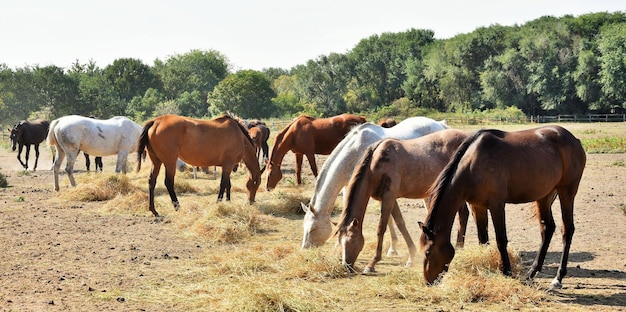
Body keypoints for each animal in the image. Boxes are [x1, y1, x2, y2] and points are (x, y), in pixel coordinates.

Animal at [336, 129, 472, 272]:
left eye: (351, 239)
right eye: (339, 241)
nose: (346, 265)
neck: (375, 165)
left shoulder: (389, 197)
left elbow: (381, 228)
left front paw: (372, 263)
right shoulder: (390, 199)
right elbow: (400, 223)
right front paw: (411, 257)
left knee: (463, 215)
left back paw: (459, 247)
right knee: (463, 214)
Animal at [414, 125, 584, 288]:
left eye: (428, 252)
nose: (428, 282)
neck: (472, 166)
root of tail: (574, 140)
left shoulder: (497, 205)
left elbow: (501, 240)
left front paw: (507, 272)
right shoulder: (478, 206)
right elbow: (483, 239)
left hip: (567, 192)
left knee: (567, 230)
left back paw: (558, 277)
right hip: (544, 196)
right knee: (547, 229)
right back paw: (531, 274)